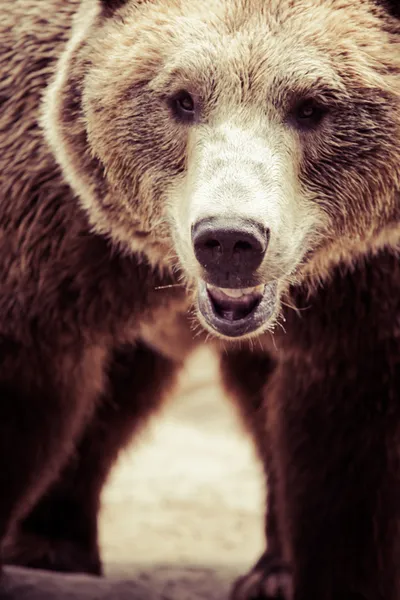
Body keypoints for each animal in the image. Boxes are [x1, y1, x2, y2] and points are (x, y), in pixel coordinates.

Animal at [0, 1, 398, 600]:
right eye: (182, 99)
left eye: (312, 107)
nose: (229, 240)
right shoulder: (50, 225)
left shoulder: (364, 293)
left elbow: (353, 459)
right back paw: (50, 545)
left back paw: (271, 573)